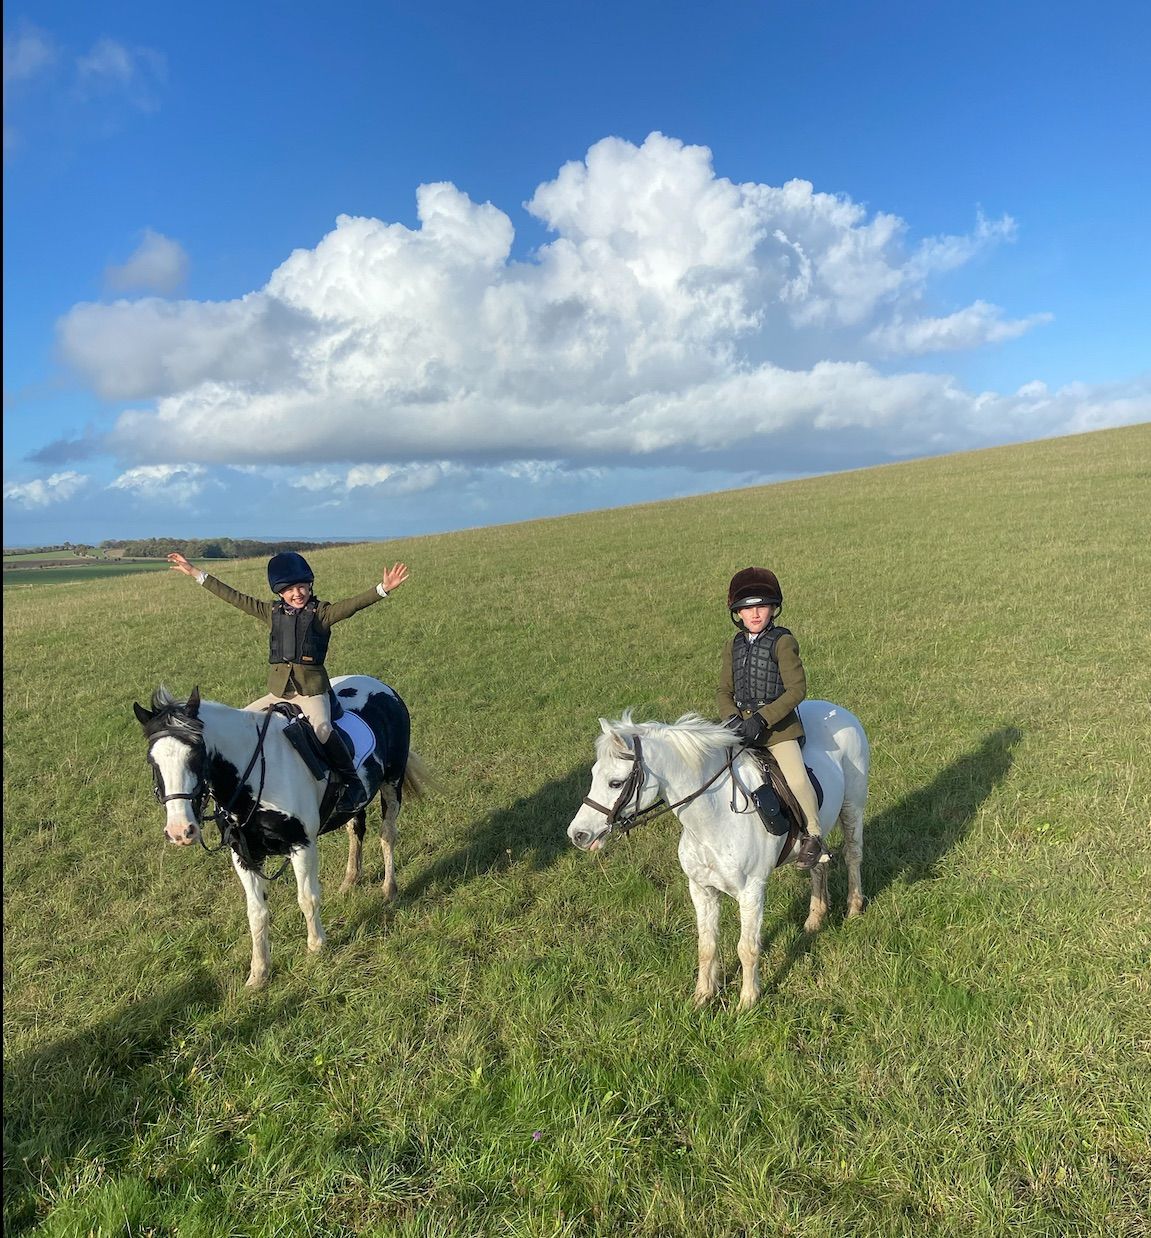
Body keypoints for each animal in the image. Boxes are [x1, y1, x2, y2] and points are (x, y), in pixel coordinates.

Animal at [131, 678, 425, 985]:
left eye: (196, 753)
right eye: (152, 761)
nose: (180, 831)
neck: (252, 778)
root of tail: (379, 685)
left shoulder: (302, 846)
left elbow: (307, 899)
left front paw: (316, 949)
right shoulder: (244, 855)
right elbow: (256, 913)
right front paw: (259, 974)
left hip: (392, 782)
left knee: (387, 835)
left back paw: (389, 889)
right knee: (356, 829)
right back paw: (349, 882)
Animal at [569, 703, 866, 1010]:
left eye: (615, 783)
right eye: (593, 774)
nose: (577, 834)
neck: (714, 817)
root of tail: (835, 708)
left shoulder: (751, 892)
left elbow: (747, 947)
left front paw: (747, 1002)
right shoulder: (702, 889)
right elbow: (706, 945)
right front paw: (702, 996)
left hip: (852, 806)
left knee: (853, 855)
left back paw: (854, 908)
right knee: (819, 865)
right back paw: (814, 920)